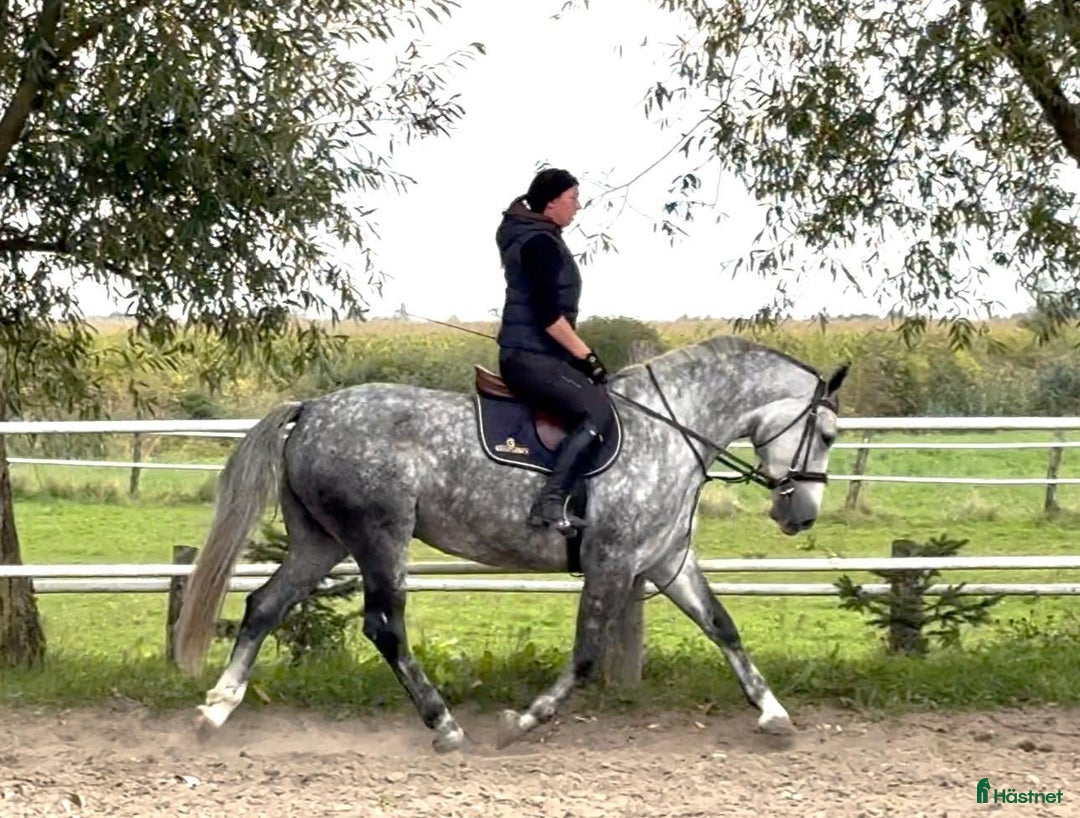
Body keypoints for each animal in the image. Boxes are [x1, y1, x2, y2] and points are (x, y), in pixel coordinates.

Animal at [173, 334, 848, 752]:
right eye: (828, 434)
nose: (801, 516)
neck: (671, 430)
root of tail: (311, 409)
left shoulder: (665, 562)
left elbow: (724, 628)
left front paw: (775, 715)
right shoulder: (612, 562)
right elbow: (584, 656)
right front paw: (520, 723)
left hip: (322, 542)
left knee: (264, 606)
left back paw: (214, 712)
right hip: (379, 536)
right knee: (384, 627)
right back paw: (445, 726)